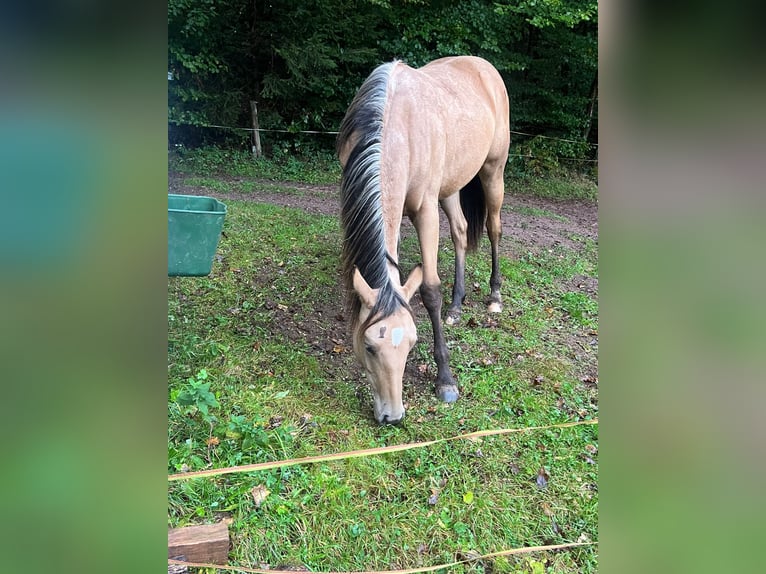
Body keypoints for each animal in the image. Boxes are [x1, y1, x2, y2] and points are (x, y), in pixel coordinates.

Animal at [336, 56, 510, 425]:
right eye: (369, 346)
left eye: (412, 344)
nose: (392, 415)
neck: (396, 127)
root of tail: (483, 66)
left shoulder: (425, 210)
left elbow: (430, 290)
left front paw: (445, 380)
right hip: (452, 184)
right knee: (460, 231)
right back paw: (456, 307)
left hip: (493, 171)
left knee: (494, 229)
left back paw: (494, 296)